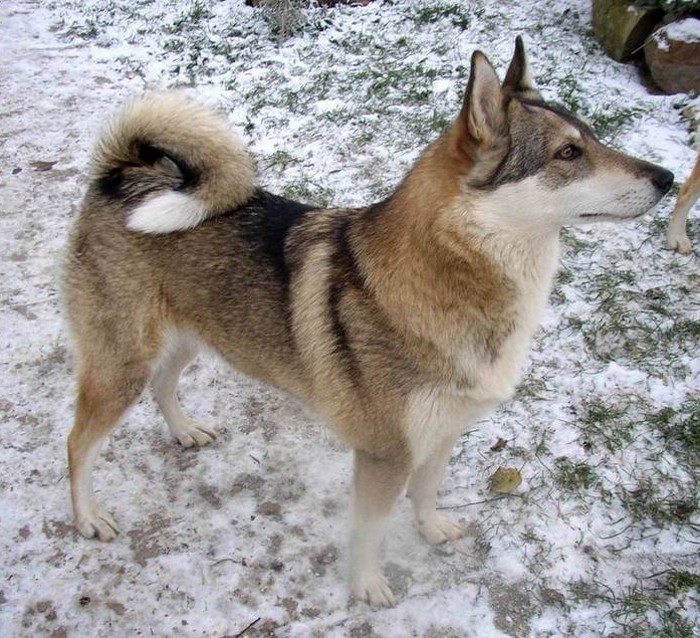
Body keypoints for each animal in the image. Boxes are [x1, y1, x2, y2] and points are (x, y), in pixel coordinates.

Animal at [64, 37, 672, 608]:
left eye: (592, 136)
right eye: (567, 152)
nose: (667, 176)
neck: (449, 276)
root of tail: (123, 175)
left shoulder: (442, 432)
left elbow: (427, 493)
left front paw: (431, 529)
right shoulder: (385, 455)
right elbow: (370, 530)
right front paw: (366, 586)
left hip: (187, 339)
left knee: (164, 386)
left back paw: (185, 430)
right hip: (121, 368)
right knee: (77, 444)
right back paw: (88, 516)